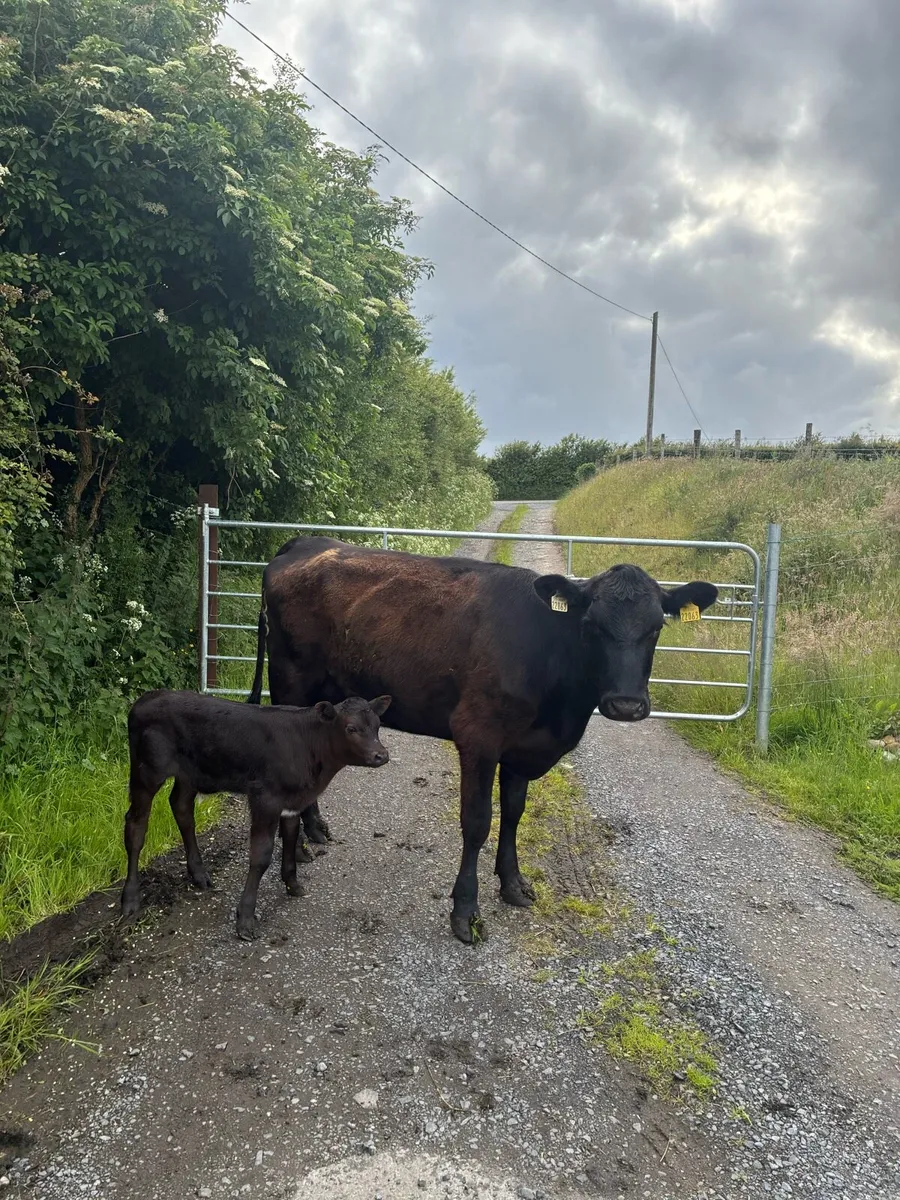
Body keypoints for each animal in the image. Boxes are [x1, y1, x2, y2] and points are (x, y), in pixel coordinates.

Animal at [120, 689, 391, 939]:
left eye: (377, 726)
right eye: (351, 728)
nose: (381, 755)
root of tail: (146, 698)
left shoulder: (293, 801)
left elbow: (291, 838)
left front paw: (292, 884)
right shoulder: (265, 798)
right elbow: (261, 855)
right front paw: (245, 918)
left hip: (189, 774)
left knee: (181, 807)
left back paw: (199, 874)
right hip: (147, 771)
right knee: (136, 825)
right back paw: (130, 899)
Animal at [247, 537, 718, 943]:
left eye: (656, 627)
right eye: (590, 625)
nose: (625, 704)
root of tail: (307, 541)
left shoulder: (523, 748)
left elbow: (513, 814)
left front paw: (512, 884)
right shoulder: (478, 736)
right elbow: (477, 822)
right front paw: (465, 913)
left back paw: (315, 829)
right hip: (289, 680)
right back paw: (301, 842)